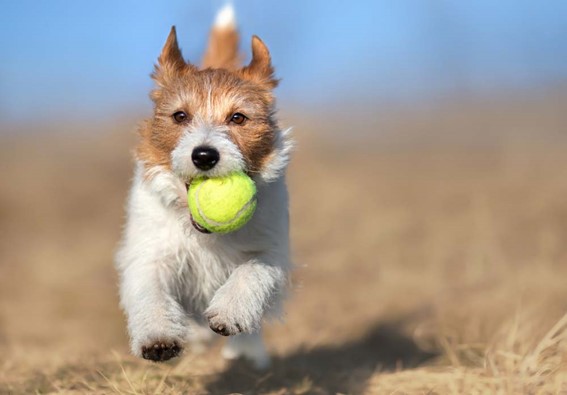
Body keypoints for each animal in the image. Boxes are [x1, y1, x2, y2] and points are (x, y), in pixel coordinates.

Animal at [114, 3, 292, 372]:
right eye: (180, 116)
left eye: (238, 118)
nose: (205, 155)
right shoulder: (150, 253)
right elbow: (150, 290)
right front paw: (157, 336)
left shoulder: (272, 251)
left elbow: (252, 271)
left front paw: (231, 311)